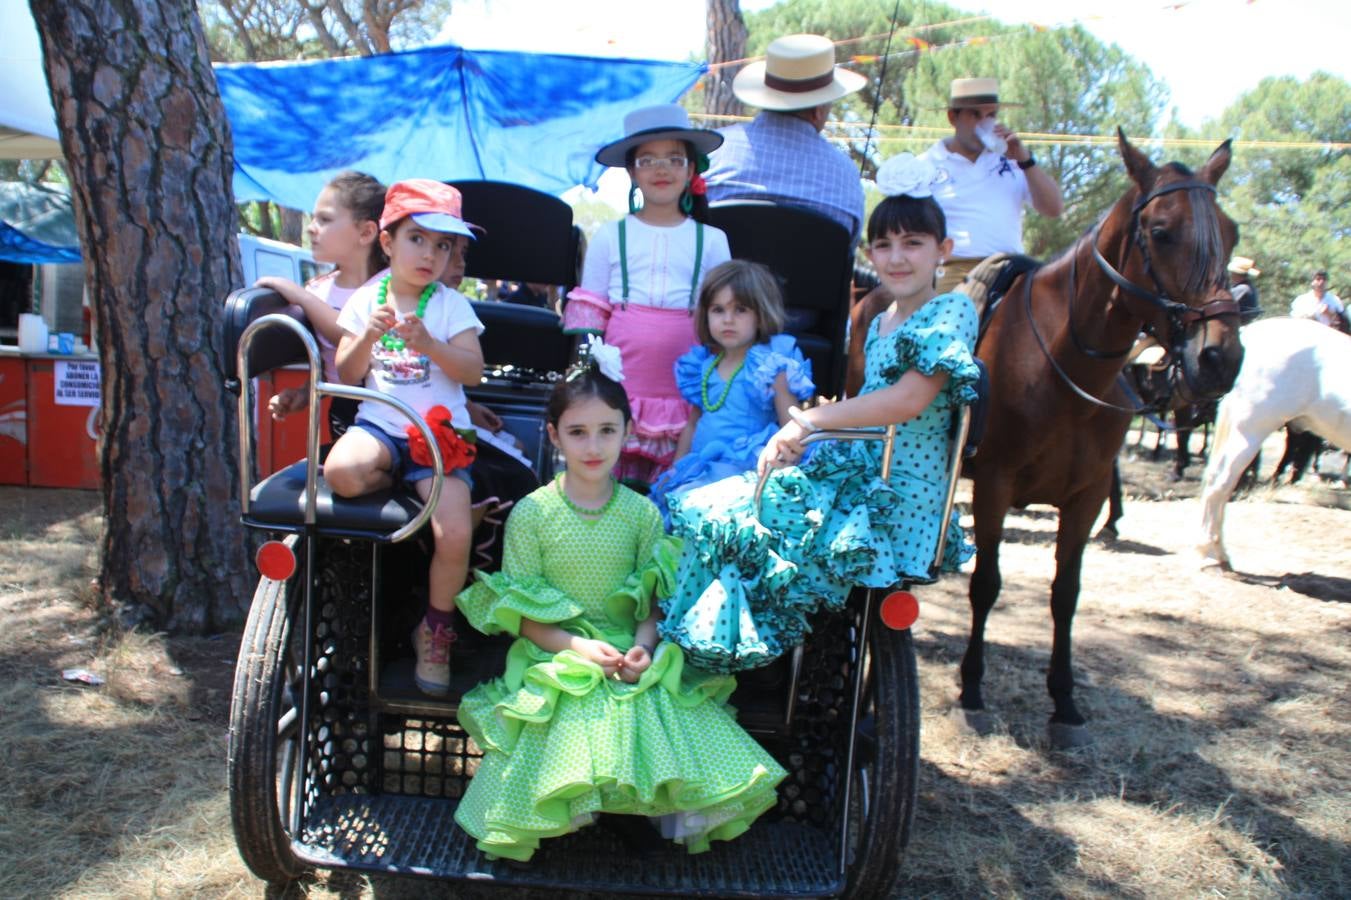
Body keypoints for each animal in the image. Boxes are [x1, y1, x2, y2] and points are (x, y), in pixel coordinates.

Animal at [961, 131, 1242, 740]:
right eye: (1160, 231)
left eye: (1230, 231)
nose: (1220, 357)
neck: (1062, 365)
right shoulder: (992, 482)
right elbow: (986, 583)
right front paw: (971, 686)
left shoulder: (1085, 494)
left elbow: (1066, 594)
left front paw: (1064, 699)